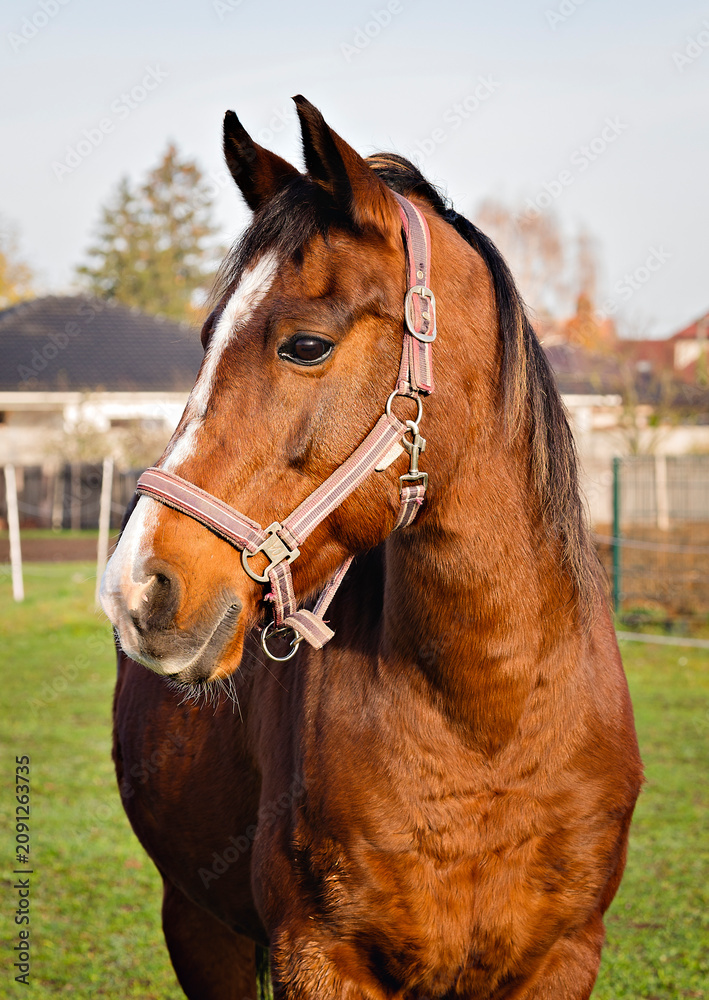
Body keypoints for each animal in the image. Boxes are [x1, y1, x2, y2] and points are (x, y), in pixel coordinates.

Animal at [100, 96, 643, 1000]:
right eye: (207, 337)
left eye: (305, 344)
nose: (137, 589)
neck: (488, 717)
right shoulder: (317, 956)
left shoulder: (566, 955)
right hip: (199, 925)